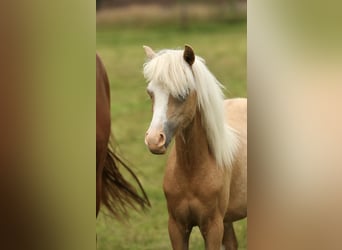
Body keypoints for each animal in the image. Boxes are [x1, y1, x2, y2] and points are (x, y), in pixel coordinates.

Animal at [142, 45, 246, 250]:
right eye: (151, 93)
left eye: (183, 94)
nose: (154, 140)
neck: (191, 171)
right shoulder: (177, 227)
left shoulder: (213, 228)